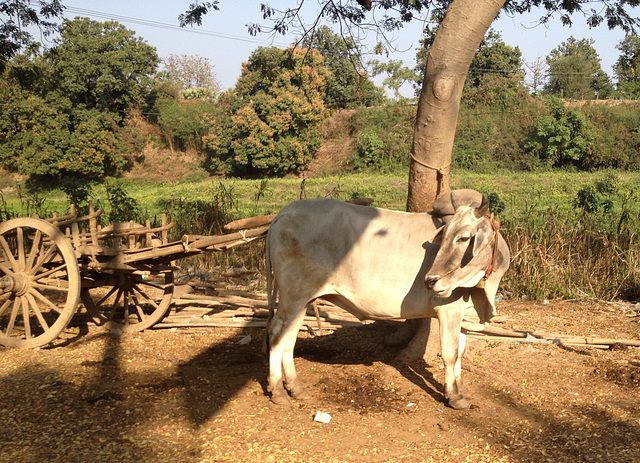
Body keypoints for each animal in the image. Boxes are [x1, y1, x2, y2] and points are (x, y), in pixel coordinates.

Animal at [264, 190, 510, 412]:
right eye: (445, 236)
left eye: (464, 238)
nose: (430, 280)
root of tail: (283, 213)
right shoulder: (449, 310)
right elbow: (450, 354)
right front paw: (454, 396)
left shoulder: (466, 315)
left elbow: (459, 354)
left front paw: (460, 389)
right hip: (294, 295)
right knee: (276, 333)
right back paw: (277, 391)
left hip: (302, 299)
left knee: (289, 337)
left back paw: (296, 388)